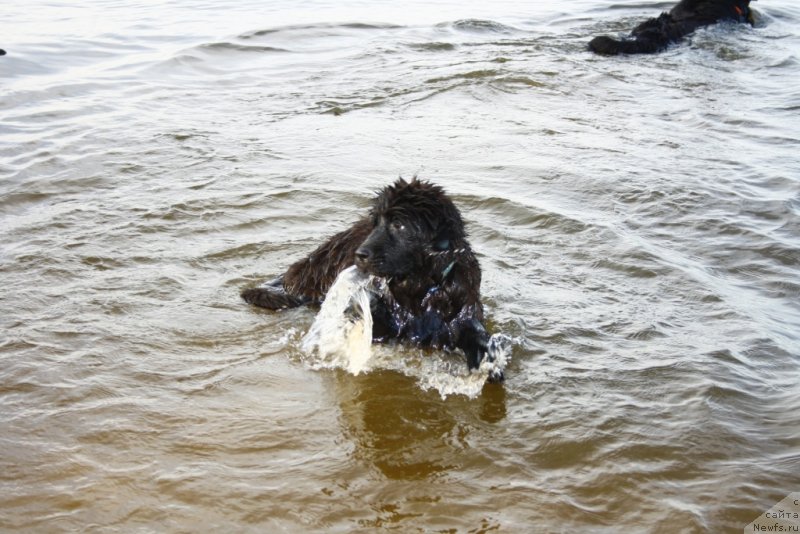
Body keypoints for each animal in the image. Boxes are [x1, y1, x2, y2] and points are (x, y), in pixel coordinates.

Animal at [241, 178, 504, 384]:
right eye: (376, 223)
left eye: (399, 225)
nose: (360, 254)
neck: (420, 290)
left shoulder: (461, 305)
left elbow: (475, 331)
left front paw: (490, 361)